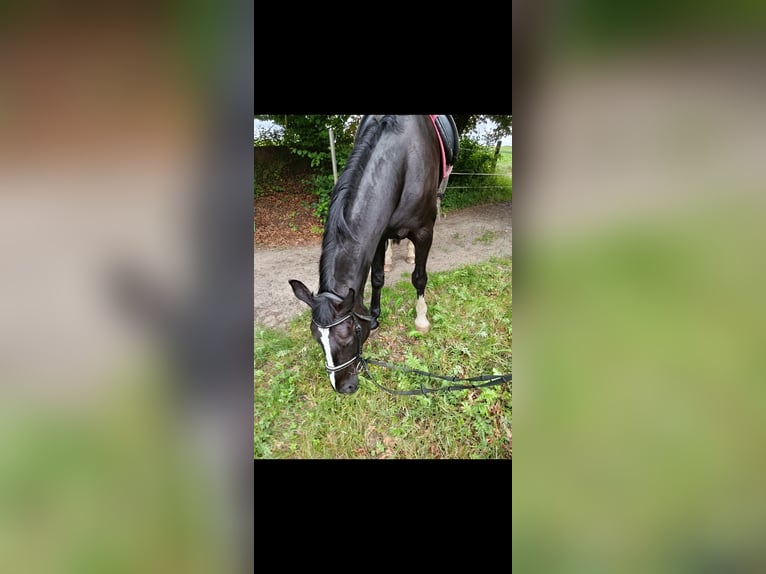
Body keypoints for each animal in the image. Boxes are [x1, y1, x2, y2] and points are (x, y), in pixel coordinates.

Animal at [289, 115, 457, 393]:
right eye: (316, 338)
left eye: (350, 334)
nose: (343, 387)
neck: (403, 157)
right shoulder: (379, 233)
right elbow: (377, 277)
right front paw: (376, 316)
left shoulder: (424, 232)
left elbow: (419, 278)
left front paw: (421, 320)